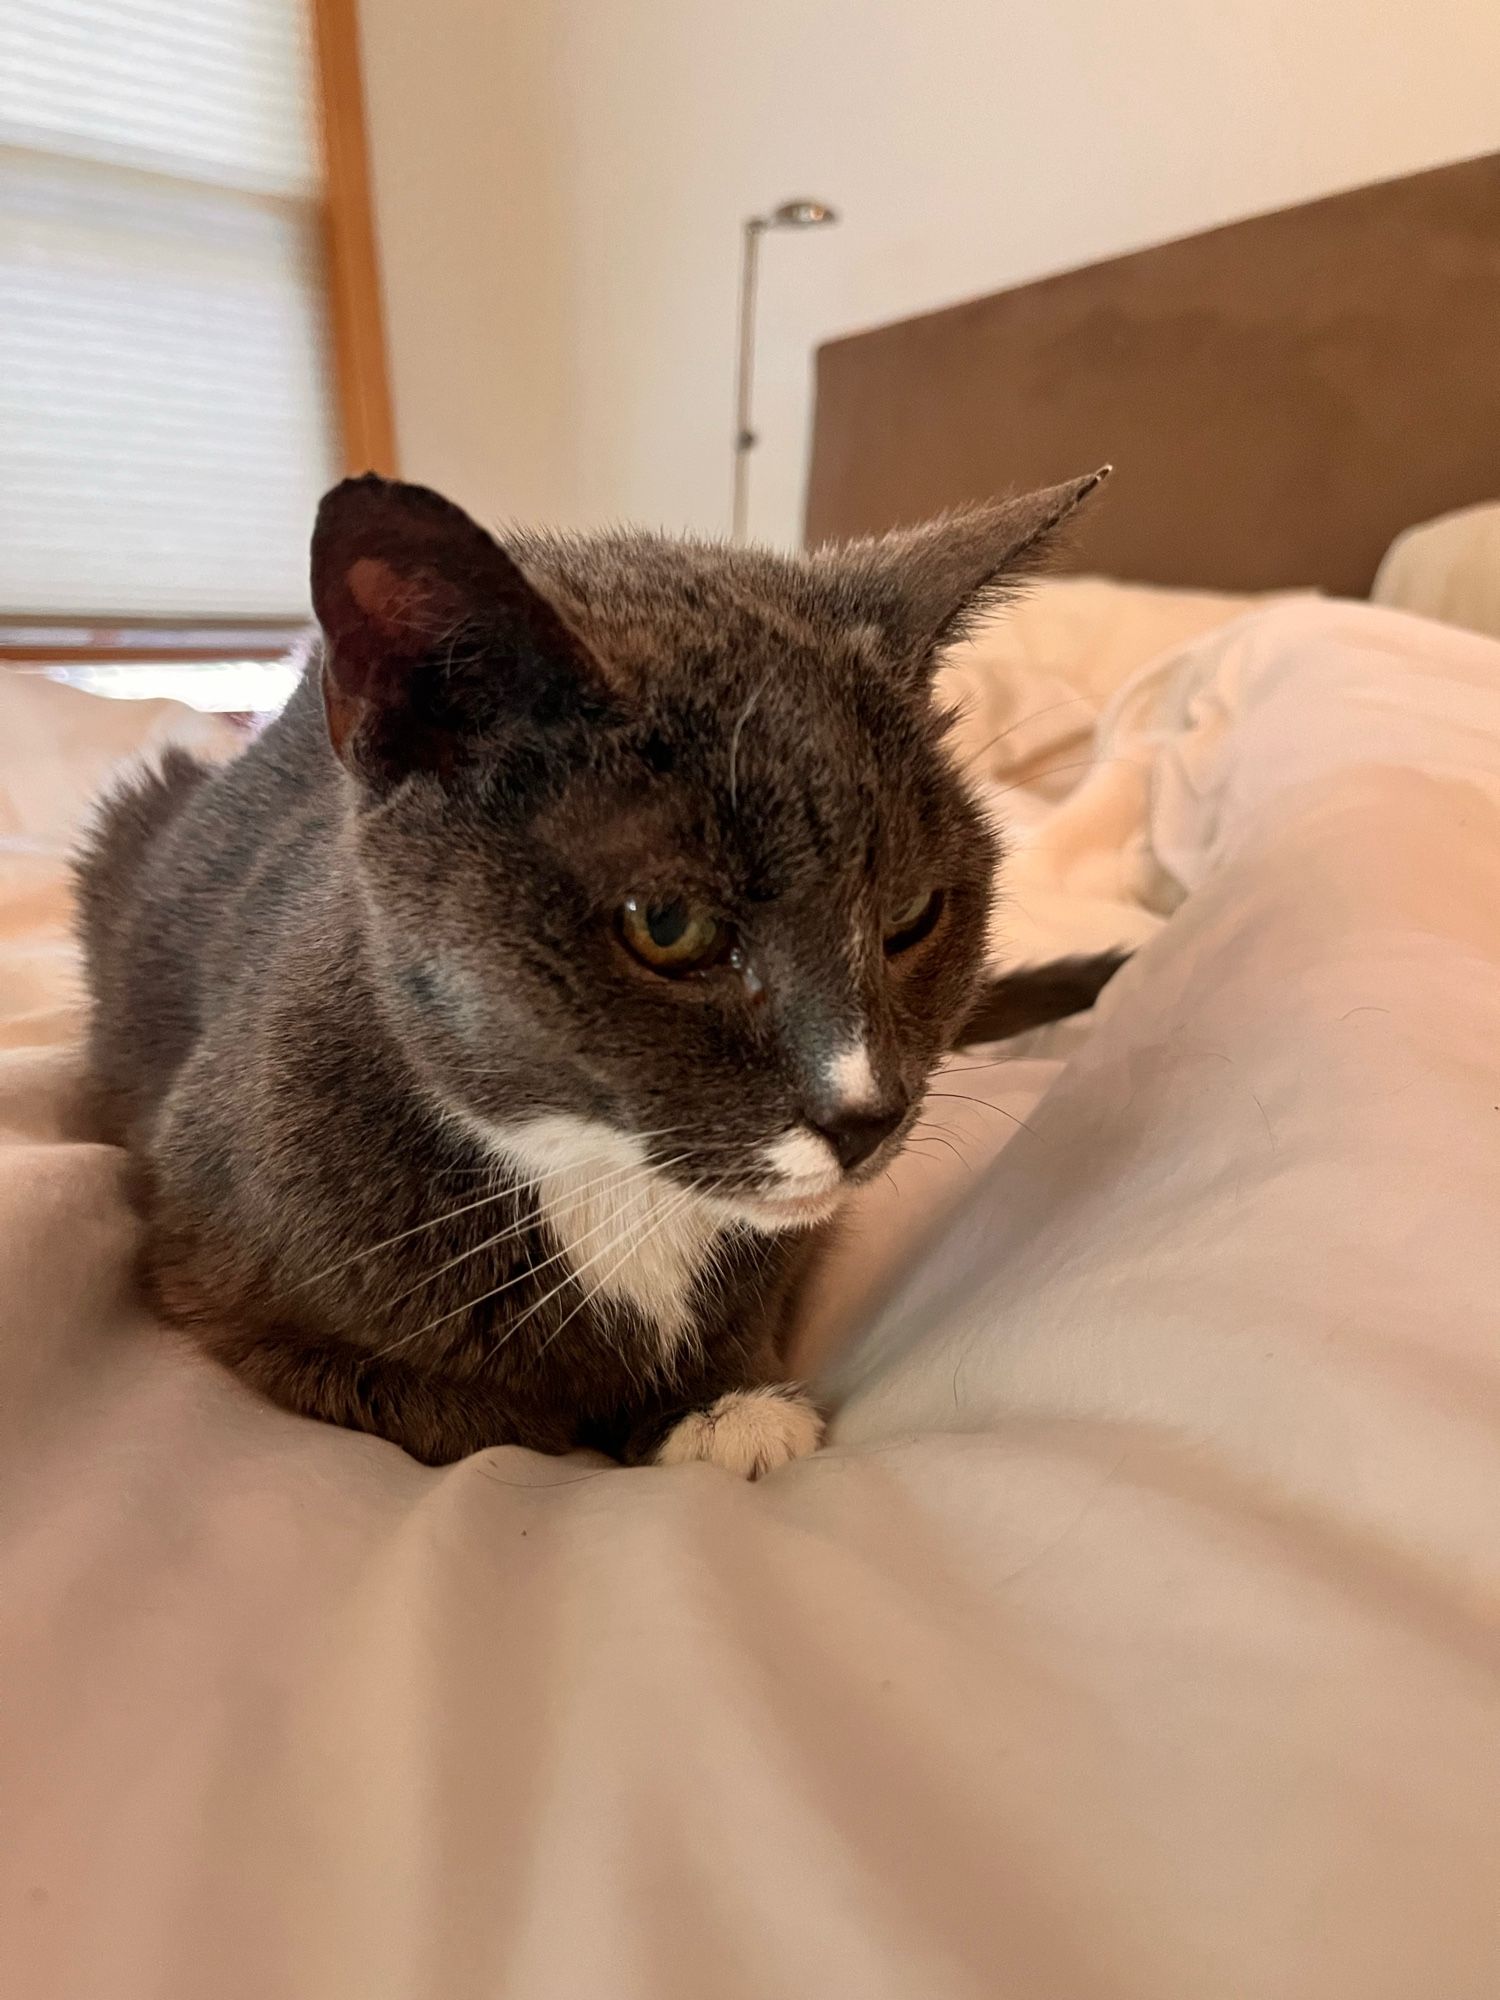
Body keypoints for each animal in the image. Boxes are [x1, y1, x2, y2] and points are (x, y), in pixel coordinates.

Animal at [76, 464, 1120, 1472]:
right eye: (668, 925)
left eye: (910, 915)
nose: (867, 1117)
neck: (610, 1185)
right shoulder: (208, 1259)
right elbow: (467, 1415)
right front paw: (638, 1412)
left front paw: (721, 1403)